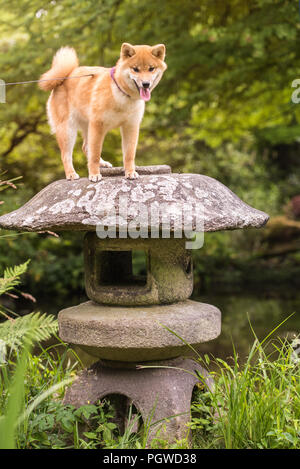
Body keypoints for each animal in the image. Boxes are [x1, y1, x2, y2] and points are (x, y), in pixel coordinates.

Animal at [38, 43, 166, 181]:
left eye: (151, 68)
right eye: (135, 69)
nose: (146, 84)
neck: (121, 94)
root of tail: (65, 76)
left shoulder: (131, 126)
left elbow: (129, 155)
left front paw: (130, 172)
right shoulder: (98, 124)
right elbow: (94, 154)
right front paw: (94, 174)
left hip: (87, 127)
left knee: (85, 147)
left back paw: (103, 163)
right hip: (68, 130)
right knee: (66, 155)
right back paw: (71, 174)